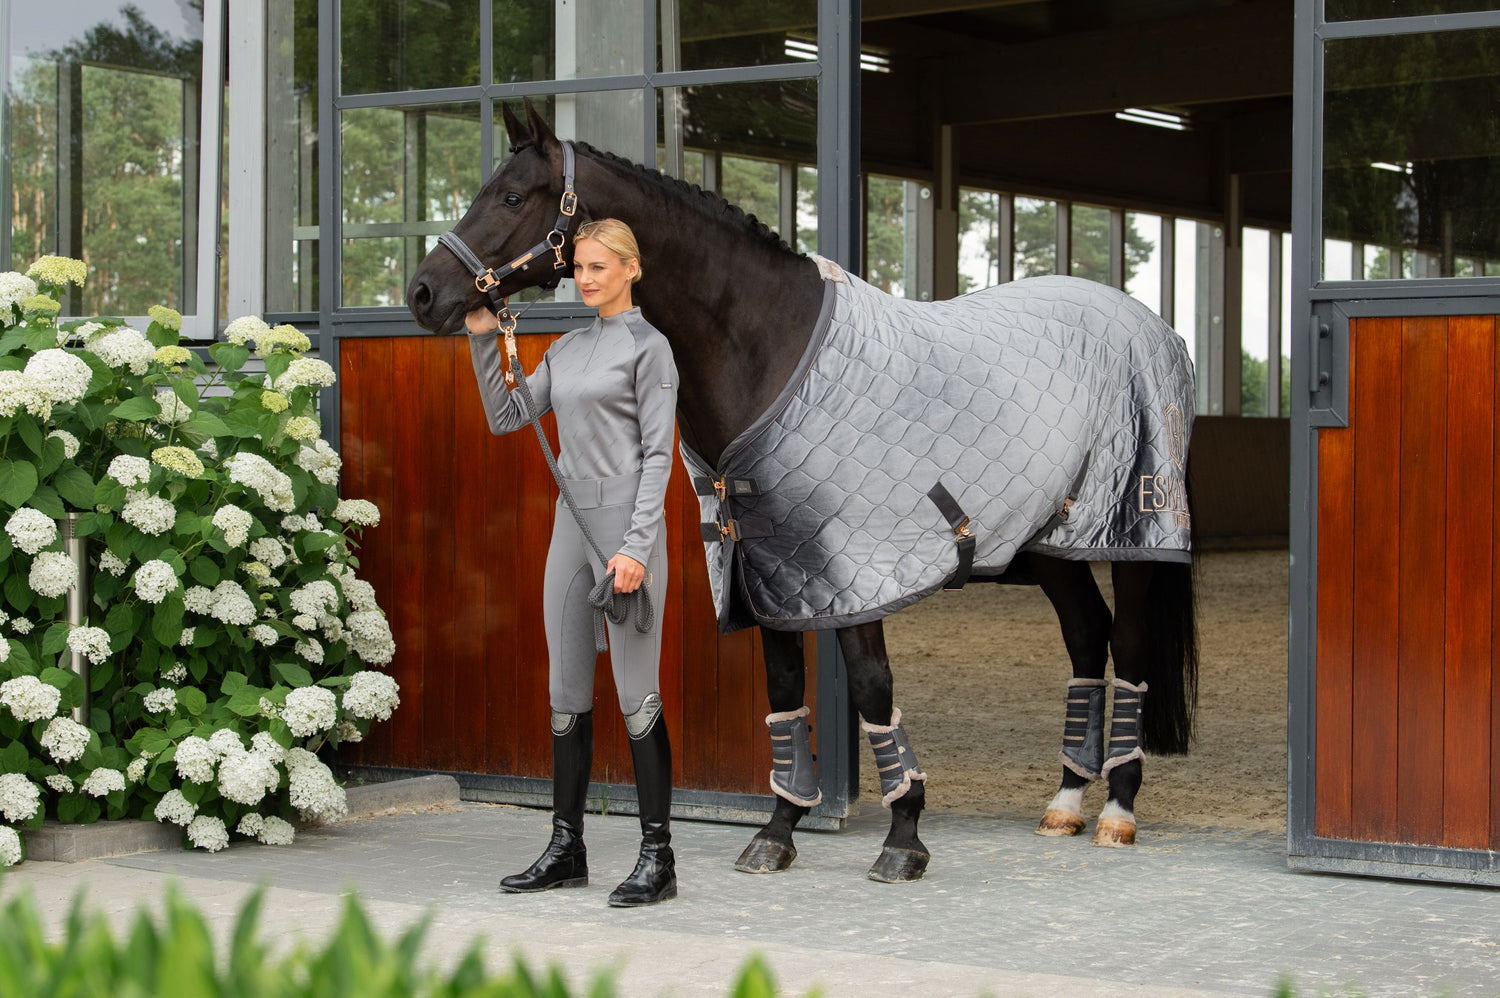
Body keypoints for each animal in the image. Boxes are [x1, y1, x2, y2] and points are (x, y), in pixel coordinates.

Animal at [407, 100, 1198, 884]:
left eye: (512, 196)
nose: (423, 293)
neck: (769, 344)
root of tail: (1152, 326)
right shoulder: (768, 564)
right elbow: (785, 691)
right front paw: (778, 831)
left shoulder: (856, 572)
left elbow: (873, 687)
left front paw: (904, 839)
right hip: (1052, 543)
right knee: (1086, 636)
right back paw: (1064, 802)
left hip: (1130, 534)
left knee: (1125, 644)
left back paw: (1117, 810)